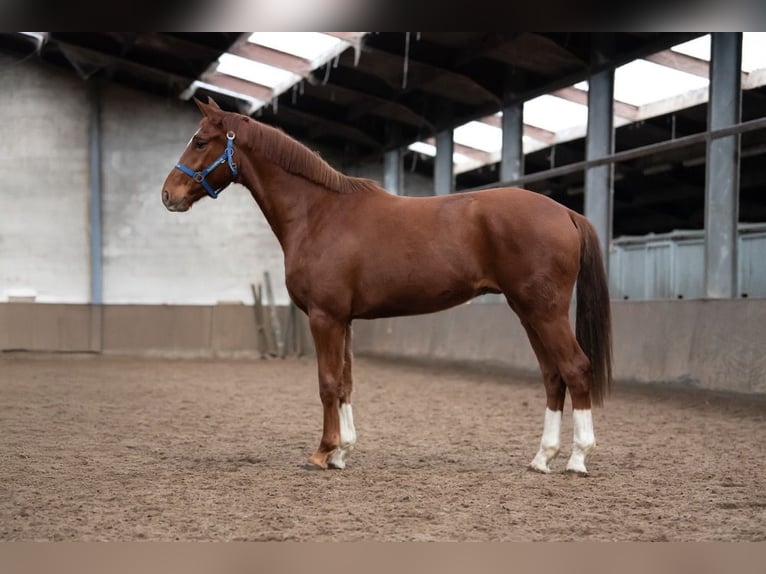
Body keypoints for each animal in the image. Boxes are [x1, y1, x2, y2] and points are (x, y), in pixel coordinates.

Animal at [161, 97, 613, 475]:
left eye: (200, 141)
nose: (168, 195)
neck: (319, 213)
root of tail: (566, 212)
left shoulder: (325, 317)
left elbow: (327, 383)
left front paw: (322, 452)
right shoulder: (343, 320)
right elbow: (345, 383)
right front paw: (342, 452)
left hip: (545, 312)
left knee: (575, 368)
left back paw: (577, 459)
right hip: (527, 312)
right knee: (553, 376)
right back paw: (542, 458)